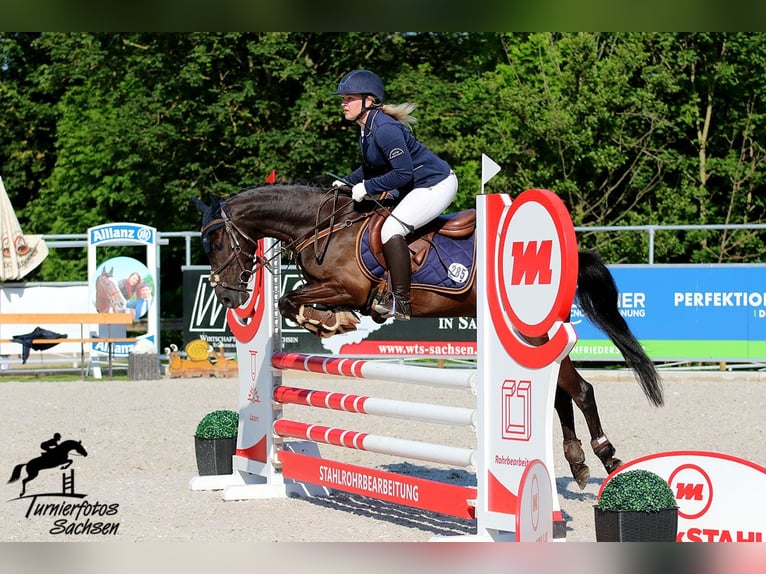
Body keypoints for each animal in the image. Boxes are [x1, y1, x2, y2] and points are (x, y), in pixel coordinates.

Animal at [198, 184, 664, 490]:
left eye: (217, 242)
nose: (228, 295)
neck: (324, 227)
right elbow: (286, 301)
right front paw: (328, 322)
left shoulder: (349, 288)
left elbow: (290, 299)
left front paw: (332, 322)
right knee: (559, 393)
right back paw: (578, 462)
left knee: (580, 390)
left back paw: (607, 456)